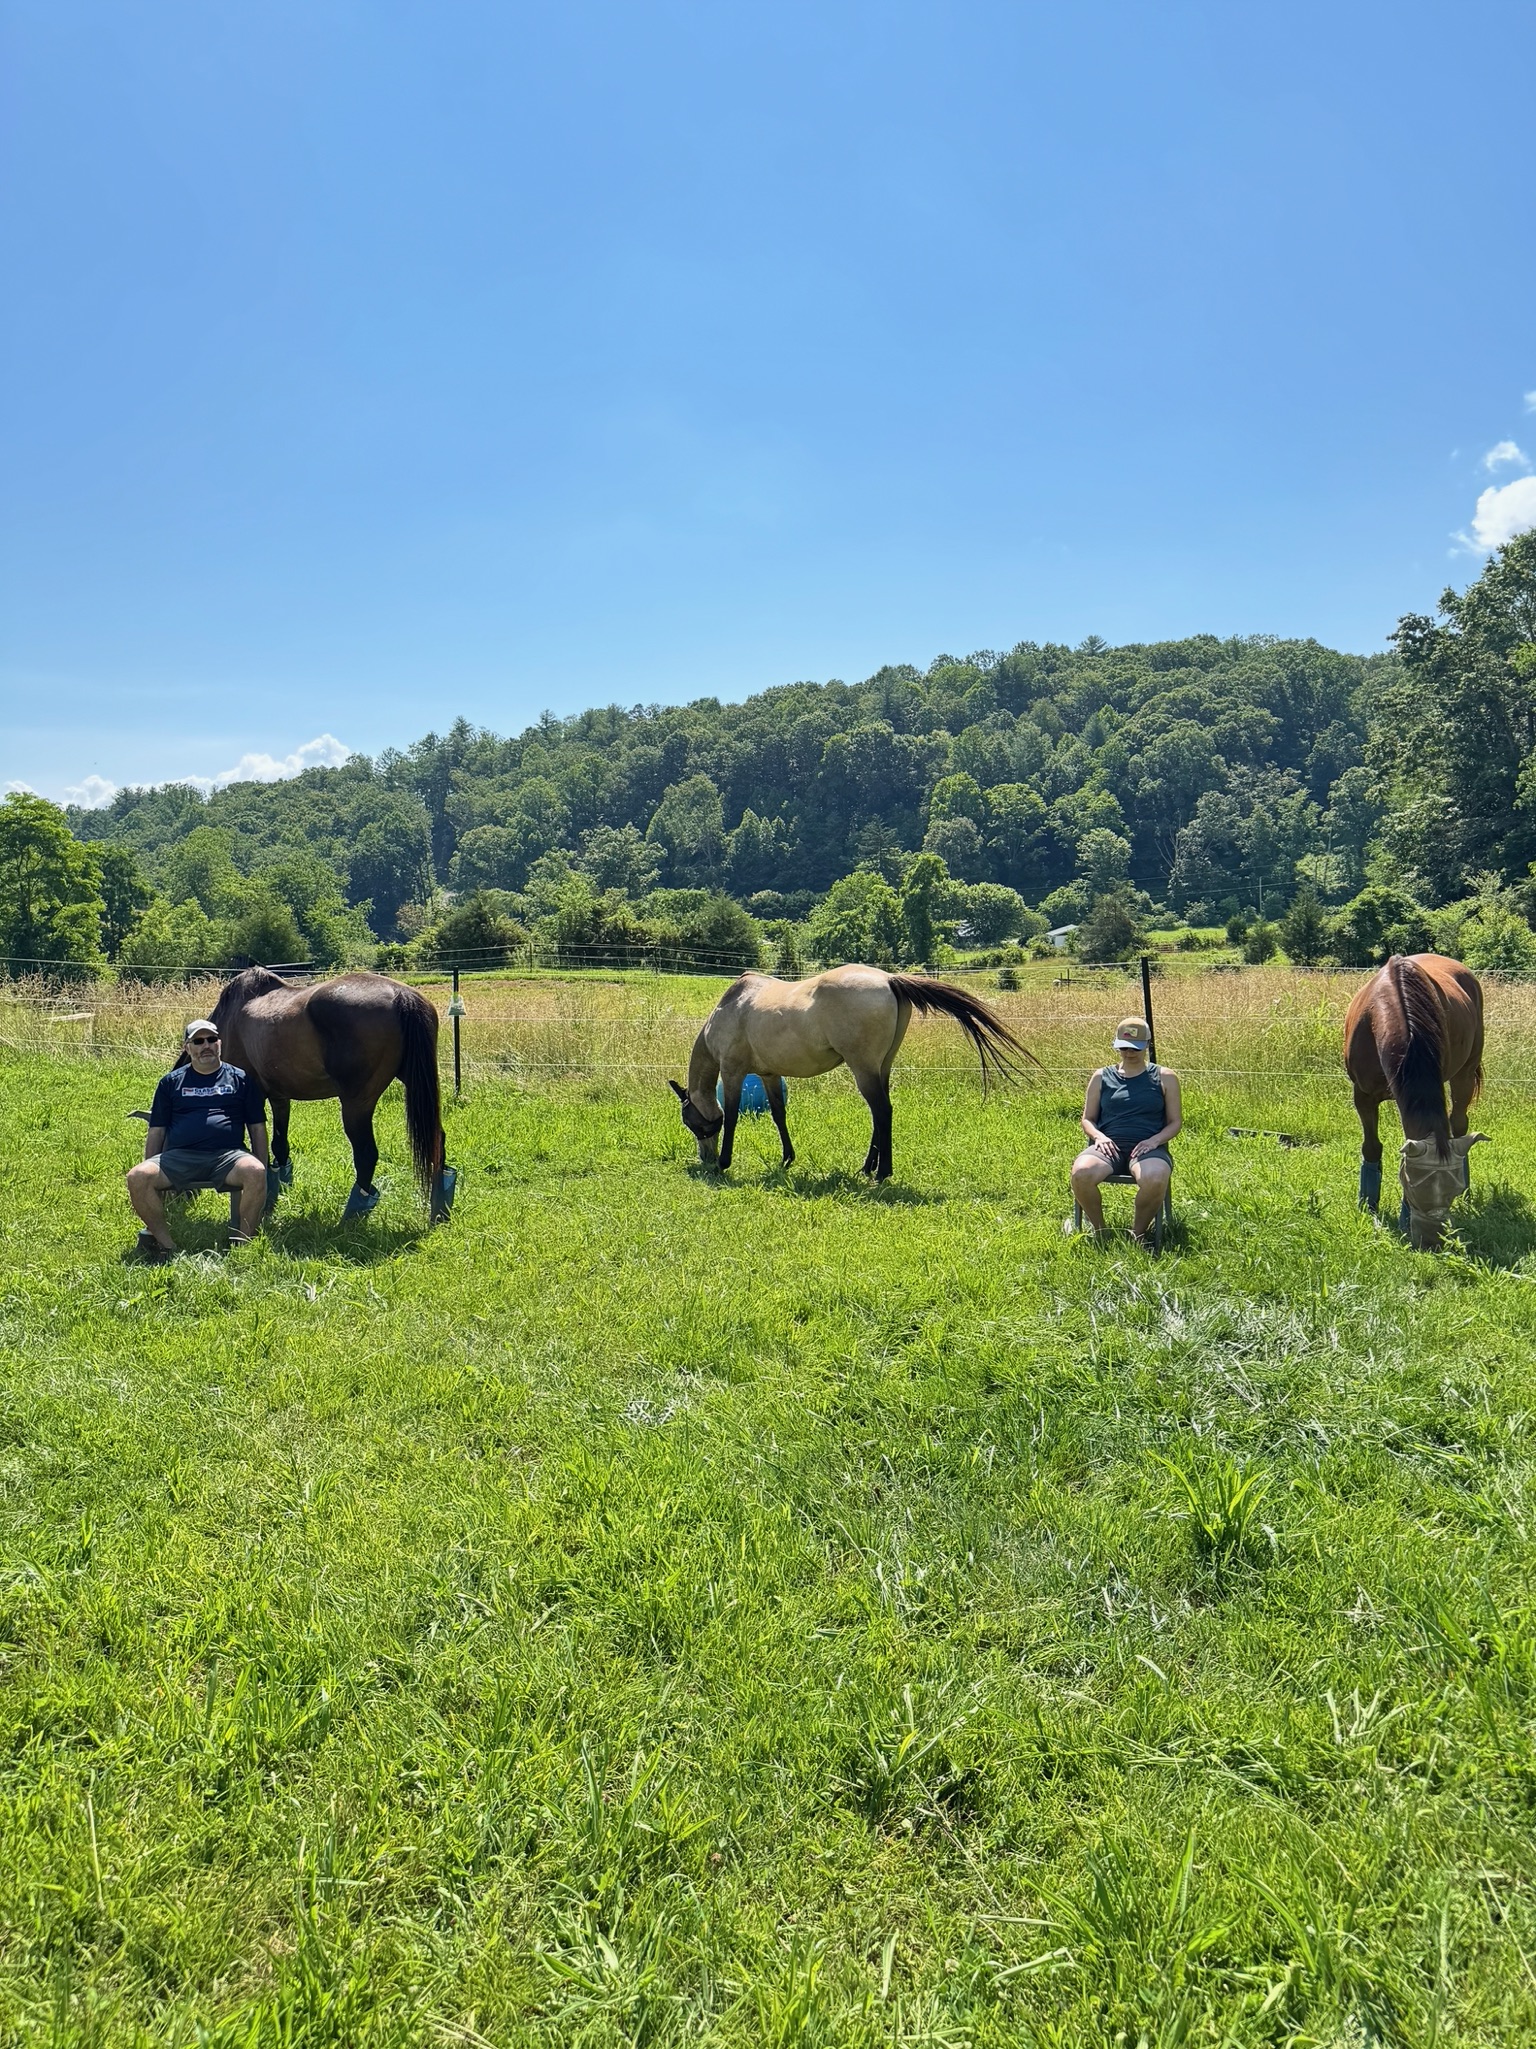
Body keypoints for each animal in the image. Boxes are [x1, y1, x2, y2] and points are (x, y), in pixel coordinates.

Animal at [203, 968, 455, 1222]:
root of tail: (401, 994)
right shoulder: (279, 1097)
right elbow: (279, 1144)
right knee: (437, 1140)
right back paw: (439, 1209)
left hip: (356, 1105)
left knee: (366, 1155)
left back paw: (351, 1215)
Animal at [669, 964, 1036, 1180]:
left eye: (691, 1123)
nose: (705, 1158)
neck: (730, 1008)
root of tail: (888, 979)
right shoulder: (770, 1075)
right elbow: (779, 1115)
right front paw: (787, 1158)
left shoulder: (733, 1071)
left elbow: (731, 1116)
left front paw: (725, 1162)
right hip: (879, 1067)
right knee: (879, 1113)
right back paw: (867, 1167)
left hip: (863, 1068)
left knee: (882, 1111)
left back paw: (881, 1172)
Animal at [1343, 953, 1487, 1250]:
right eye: (1411, 1187)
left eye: (1452, 1191)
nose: (1431, 1242)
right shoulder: (1362, 1095)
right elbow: (1371, 1147)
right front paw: (1368, 1205)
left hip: (1465, 1073)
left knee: (1459, 1123)